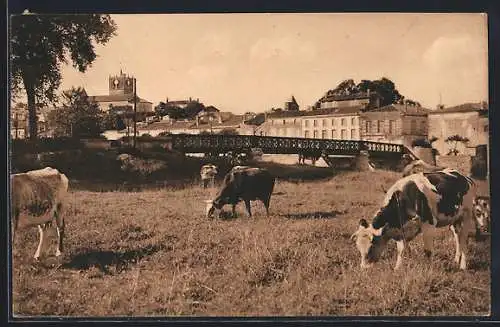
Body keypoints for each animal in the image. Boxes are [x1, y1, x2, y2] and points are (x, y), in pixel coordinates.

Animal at [350, 169, 478, 272]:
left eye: (370, 248)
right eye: (358, 248)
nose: (363, 268)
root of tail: (465, 177)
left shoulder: (429, 224)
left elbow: (428, 251)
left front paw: (428, 269)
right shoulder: (401, 230)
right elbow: (401, 250)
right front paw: (398, 268)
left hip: (467, 215)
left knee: (464, 239)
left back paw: (463, 266)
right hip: (454, 220)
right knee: (457, 238)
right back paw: (456, 260)